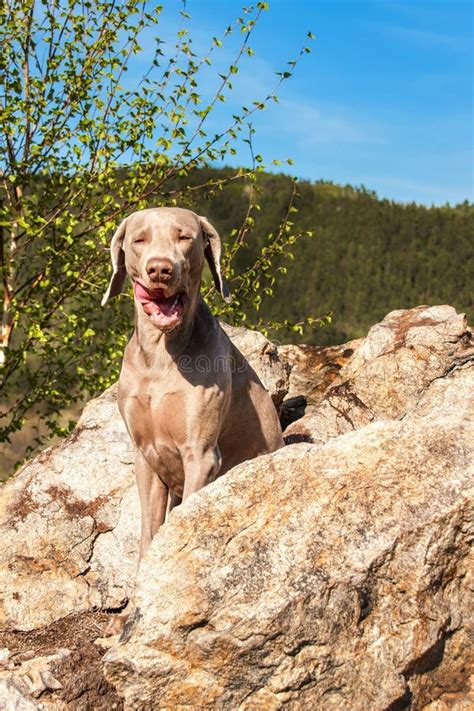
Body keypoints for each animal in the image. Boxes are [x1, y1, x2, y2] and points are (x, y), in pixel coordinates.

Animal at [101, 206, 282, 628]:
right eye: (139, 239)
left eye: (185, 238)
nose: (161, 270)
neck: (160, 356)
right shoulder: (146, 460)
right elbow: (149, 538)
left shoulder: (199, 455)